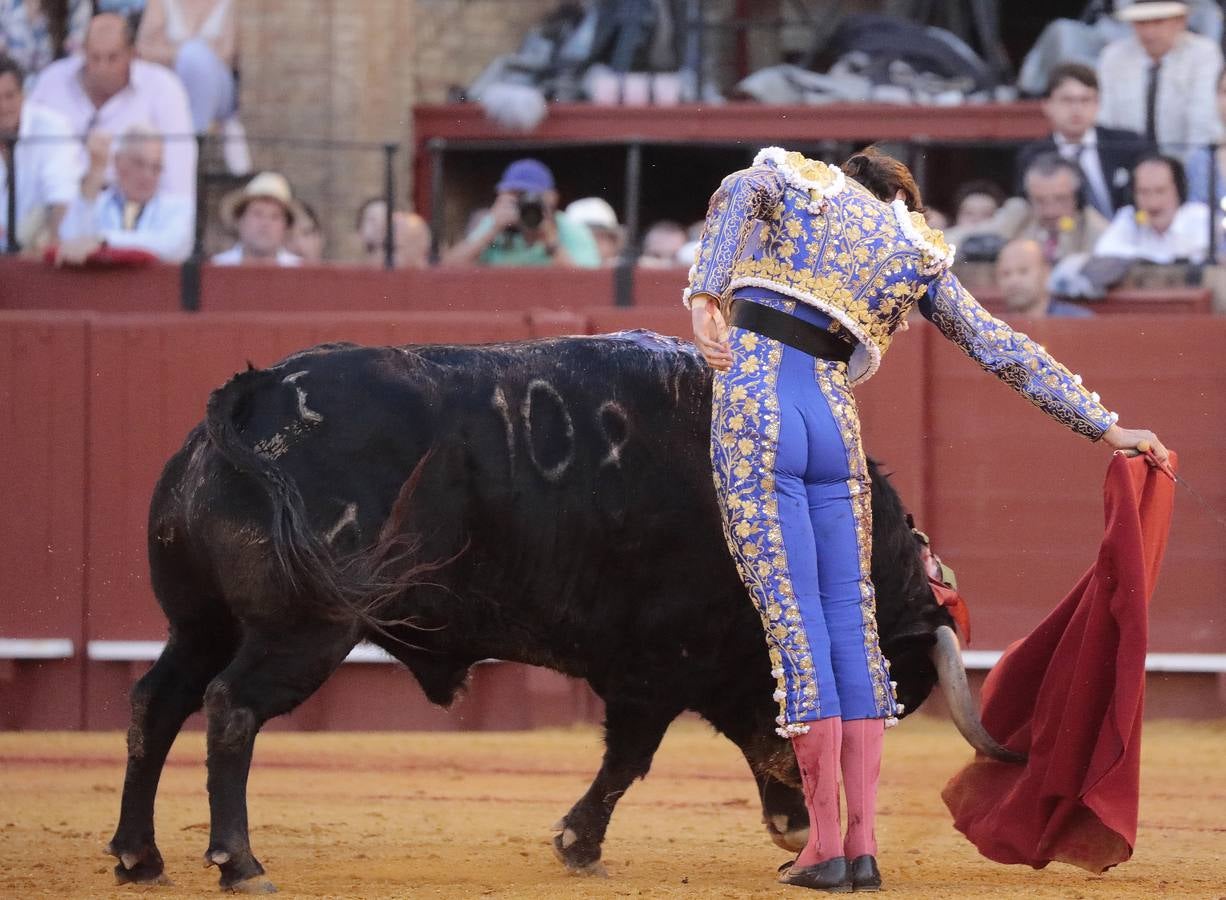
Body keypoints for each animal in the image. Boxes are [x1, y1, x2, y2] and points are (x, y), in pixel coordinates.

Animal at [105, 328, 1010, 892]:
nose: (803, 832)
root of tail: (253, 395)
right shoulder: (656, 668)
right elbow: (633, 759)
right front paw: (580, 843)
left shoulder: (696, 671)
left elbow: (736, 743)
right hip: (302, 632)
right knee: (230, 709)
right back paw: (240, 862)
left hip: (200, 623)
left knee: (157, 703)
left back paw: (138, 856)